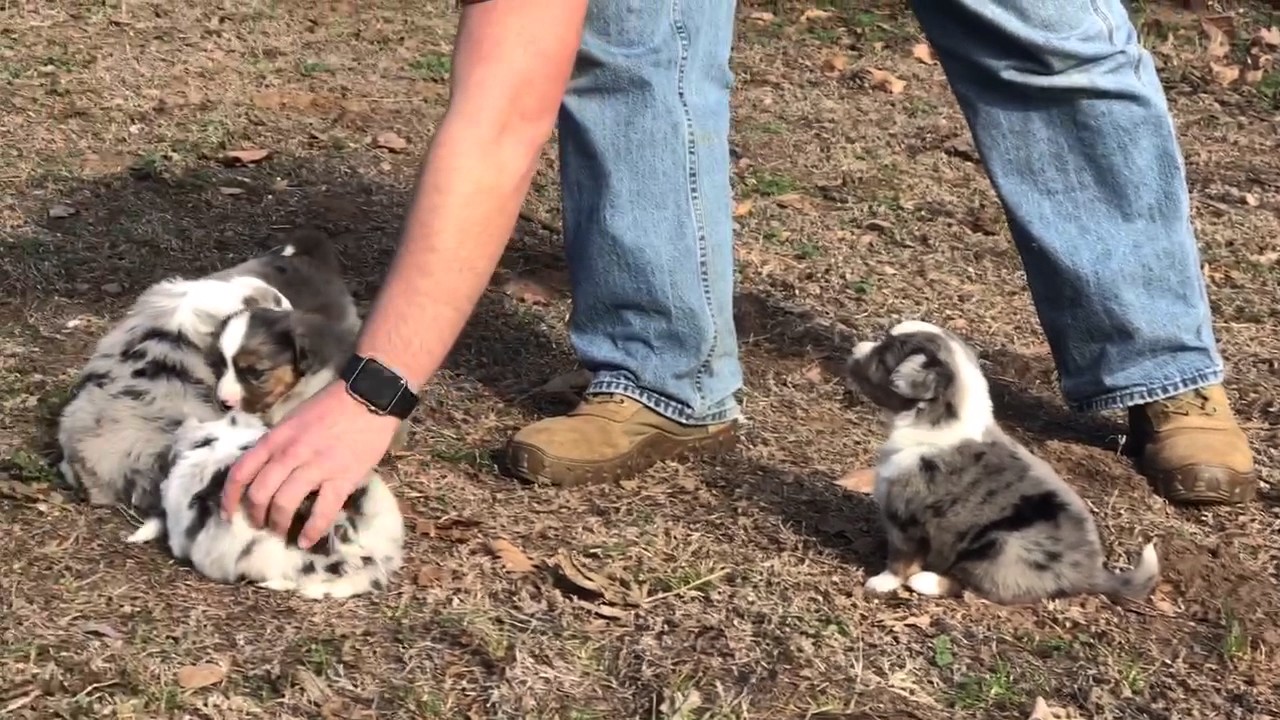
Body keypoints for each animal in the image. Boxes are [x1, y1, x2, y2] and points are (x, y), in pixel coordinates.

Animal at [839, 316, 1162, 602]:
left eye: (882, 359)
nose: (854, 349)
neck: (936, 421)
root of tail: (1091, 573)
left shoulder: (906, 519)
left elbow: (901, 560)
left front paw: (882, 582)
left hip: (1003, 547)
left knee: (975, 586)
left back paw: (927, 581)